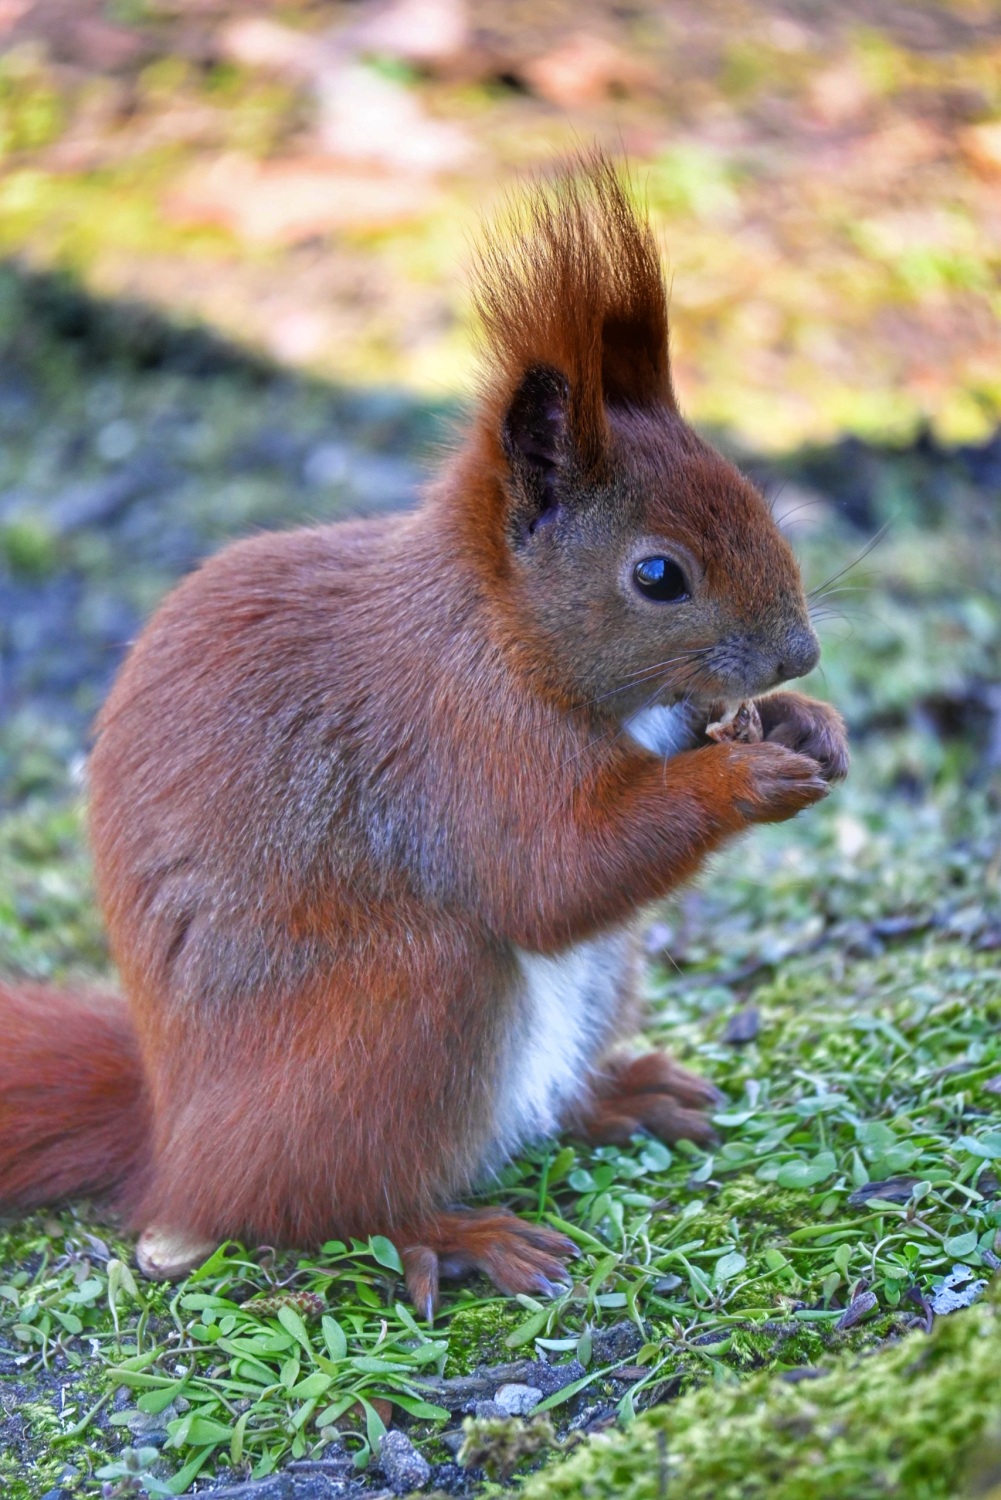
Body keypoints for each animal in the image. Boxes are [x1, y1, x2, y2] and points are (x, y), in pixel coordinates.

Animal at [0, 155, 848, 1316]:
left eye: (754, 497)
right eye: (657, 574)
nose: (797, 657)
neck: (496, 628)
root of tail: (170, 1139)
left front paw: (810, 728)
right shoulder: (455, 740)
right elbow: (545, 874)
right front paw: (746, 775)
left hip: (595, 978)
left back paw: (613, 1097)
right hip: (408, 1004)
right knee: (302, 1203)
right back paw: (451, 1231)